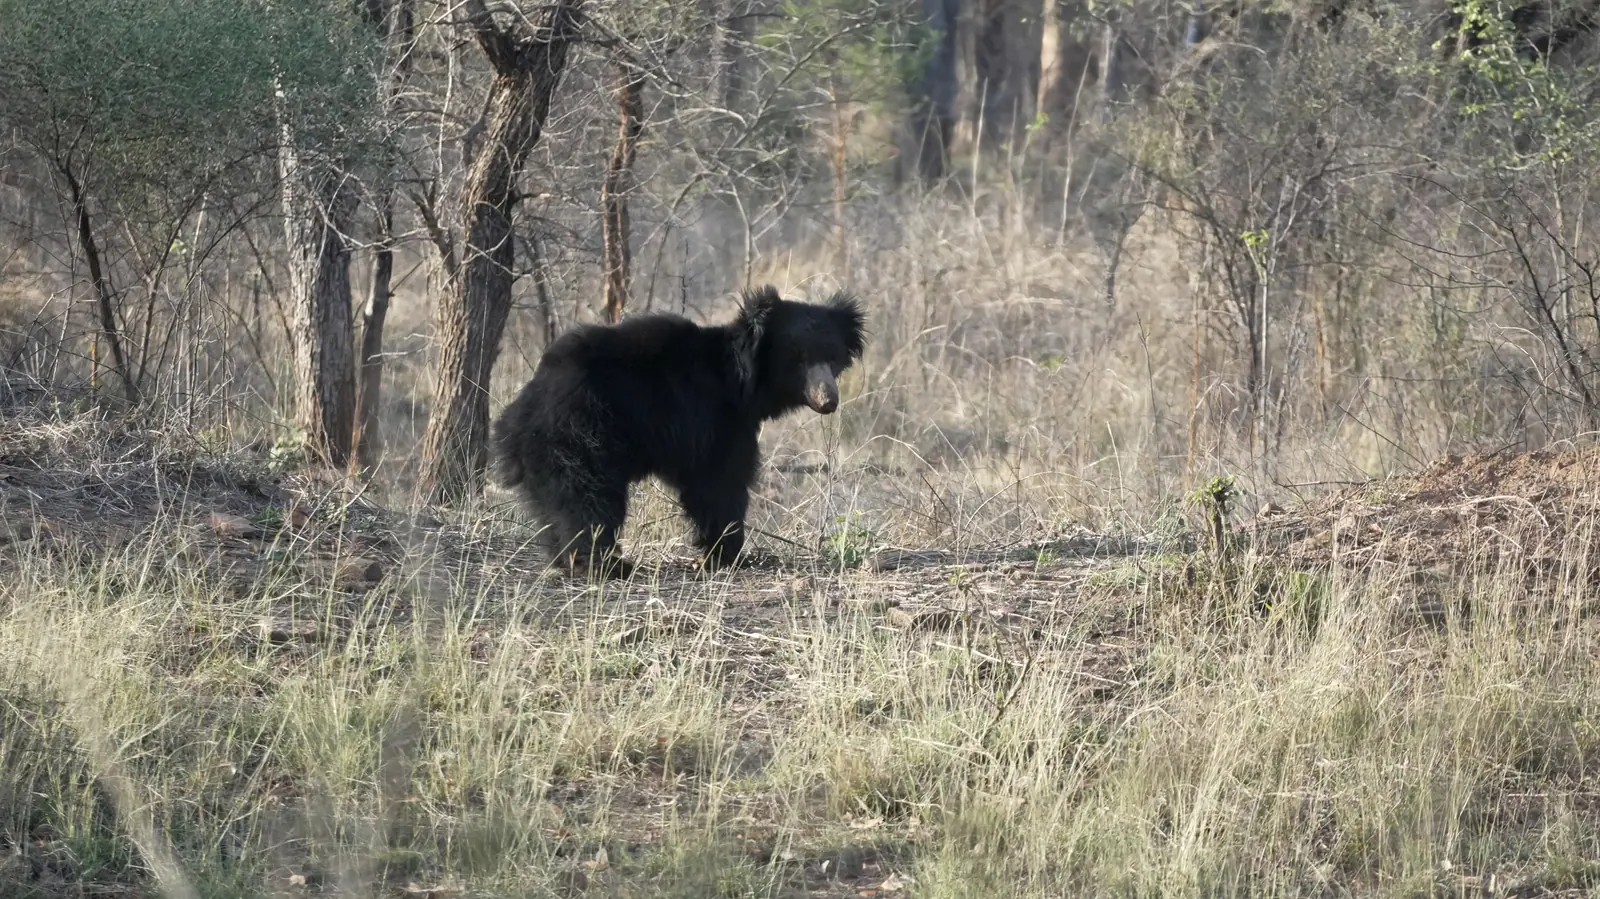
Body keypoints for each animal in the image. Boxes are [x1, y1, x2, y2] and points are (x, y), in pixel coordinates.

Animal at [492, 284, 866, 578]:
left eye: (833, 357)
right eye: (798, 359)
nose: (828, 400)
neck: (742, 383)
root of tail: (517, 414)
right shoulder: (713, 420)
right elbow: (719, 482)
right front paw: (726, 553)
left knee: (556, 505)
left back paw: (568, 559)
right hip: (580, 435)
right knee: (587, 498)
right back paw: (603, 563)